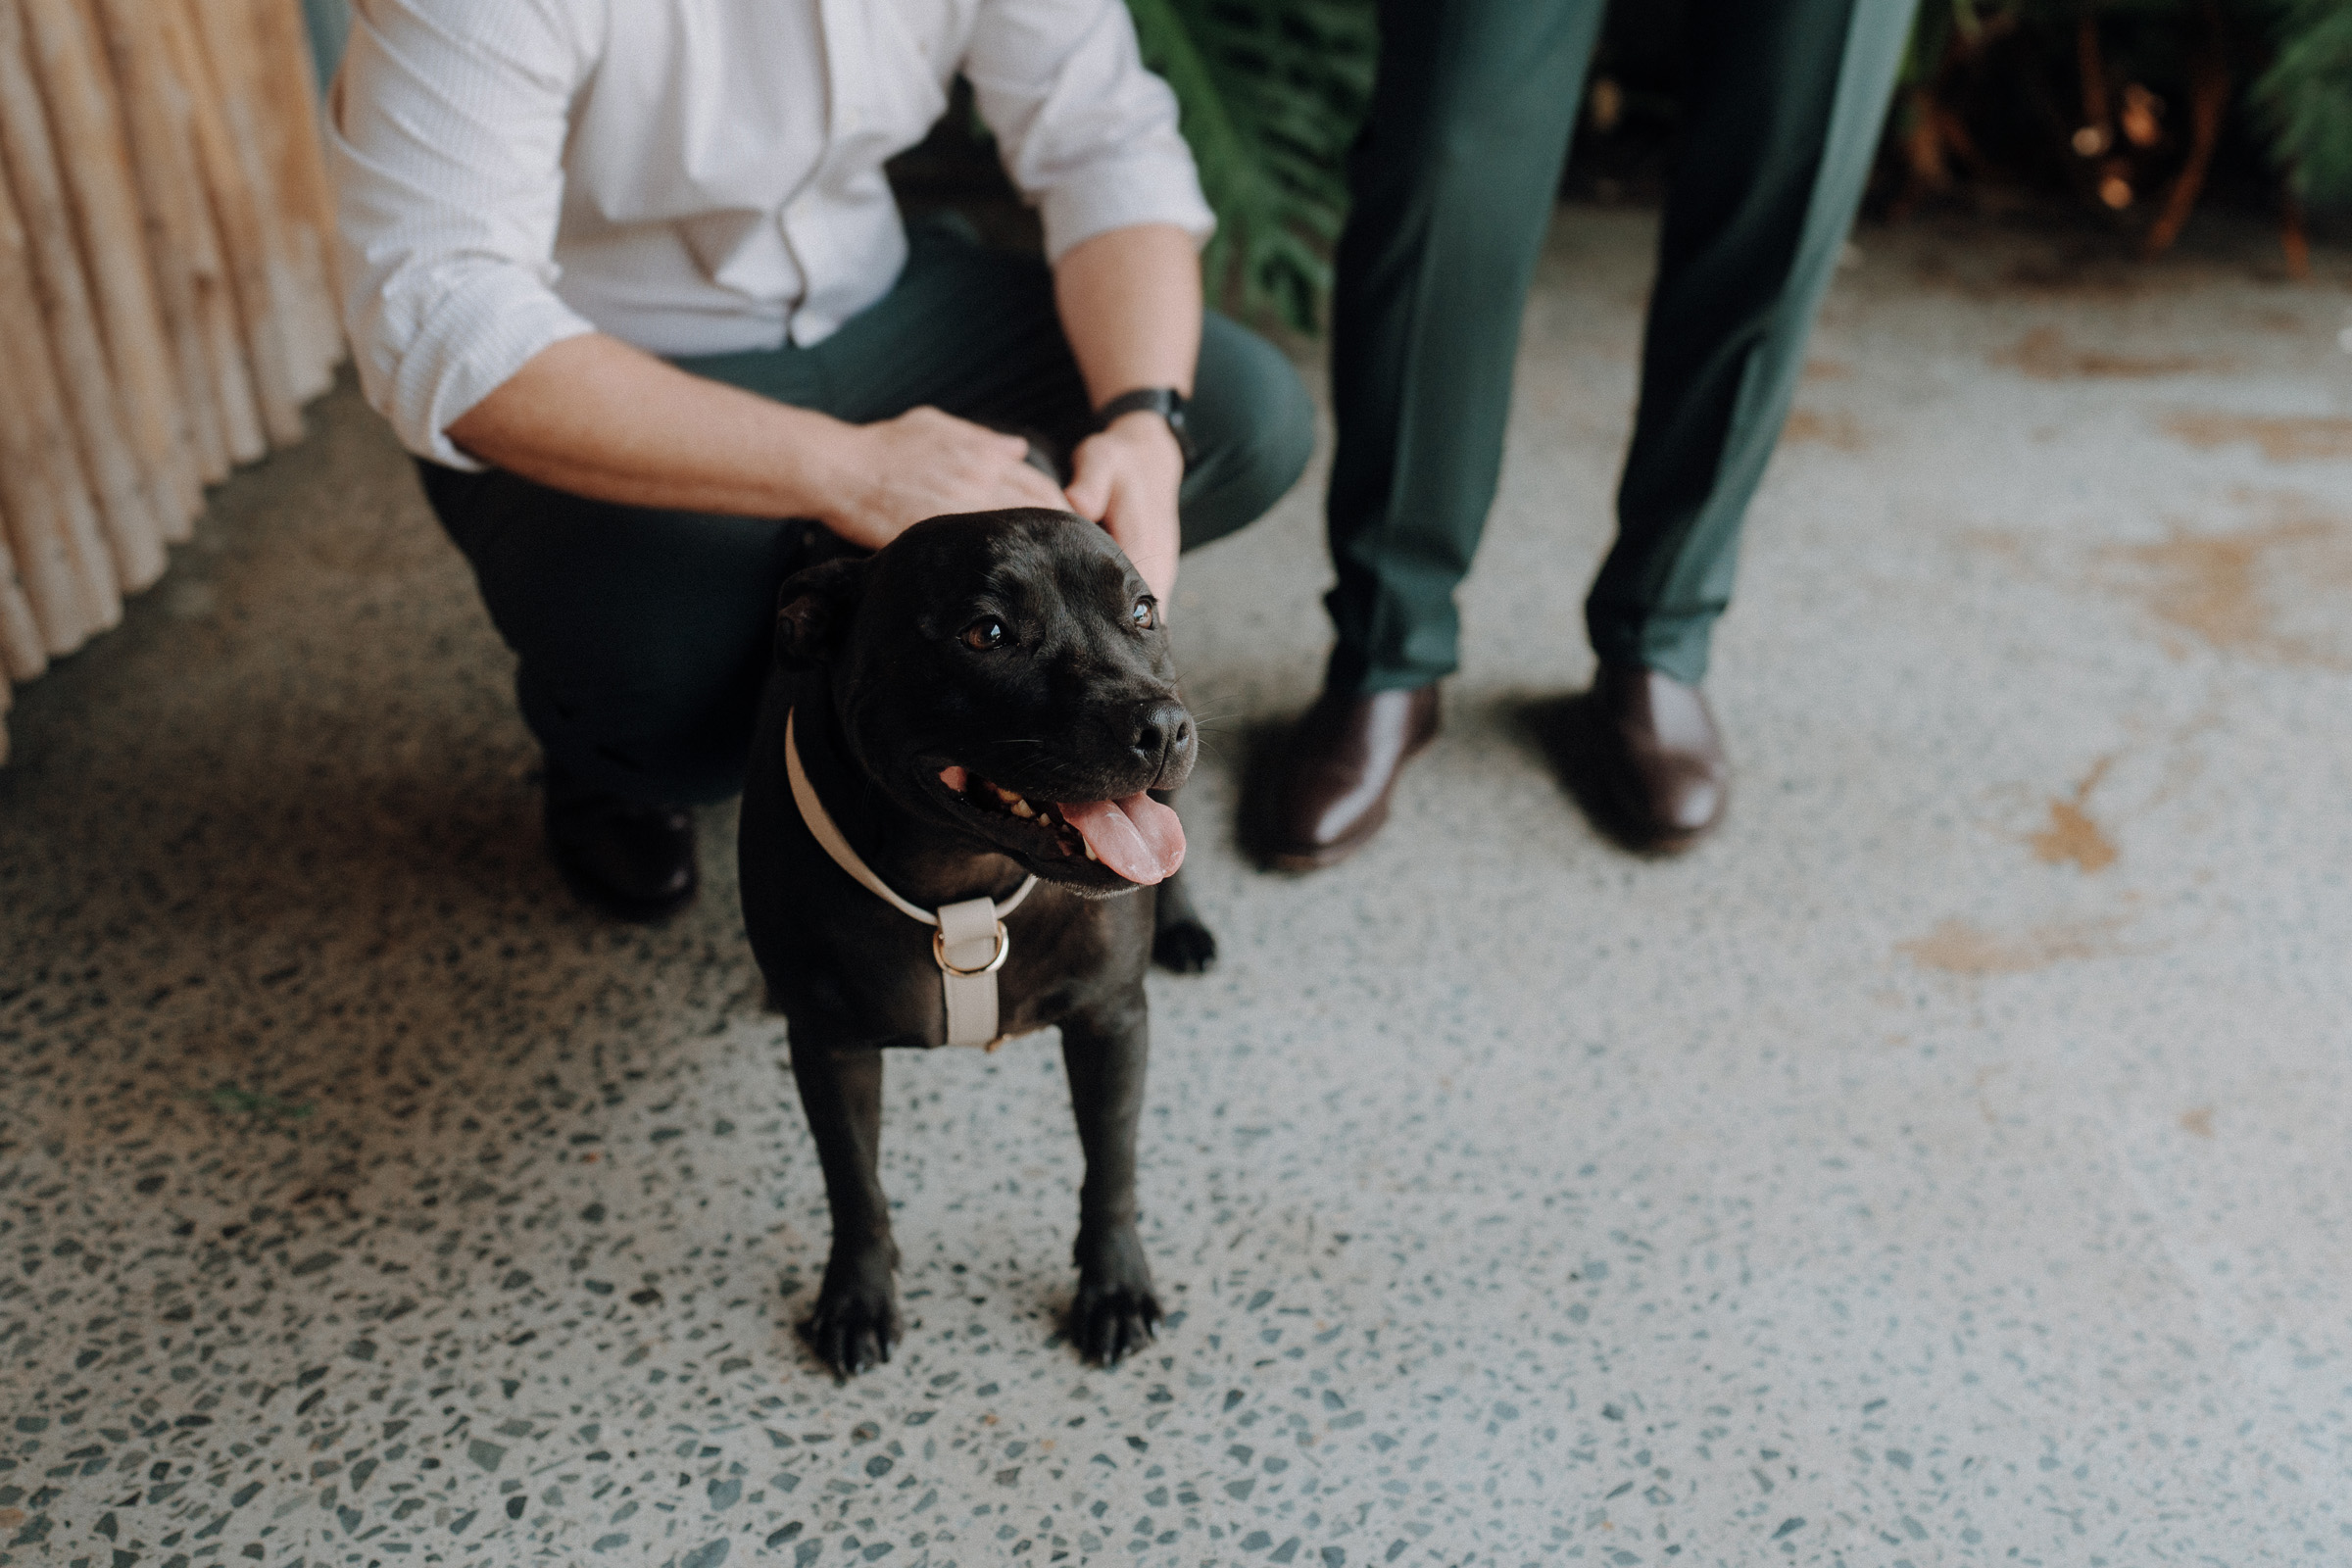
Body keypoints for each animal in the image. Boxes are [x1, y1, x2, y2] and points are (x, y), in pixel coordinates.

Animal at [738, 512, 1213, 1372]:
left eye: (1140, 612)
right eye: (986, 633)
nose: (1160, 726)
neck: (964, 880)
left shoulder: (1111, 1022)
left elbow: (1112, 1166)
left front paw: (1114, 1287)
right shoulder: (830, 1050)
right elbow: (852, 1183)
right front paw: (857, 1296)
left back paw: (1183, 924)